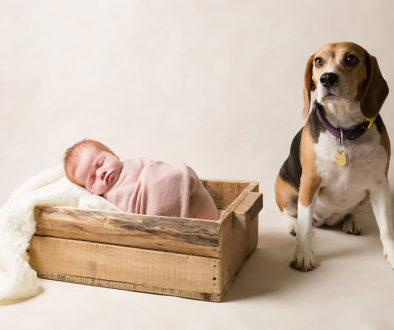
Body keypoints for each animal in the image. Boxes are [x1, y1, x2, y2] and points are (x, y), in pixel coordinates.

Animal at [274, 42, 394, 270]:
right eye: (318, 61)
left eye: (351, 59)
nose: (327, 78)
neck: (343, 129)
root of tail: (327, 220)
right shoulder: (310, 180)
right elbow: (304, 226)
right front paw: (302, 254)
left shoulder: (380, 184)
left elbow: (386, 227)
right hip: (284, 187)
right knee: (290, 213)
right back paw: (293, 224)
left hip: (366, 197)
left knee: (352, 211)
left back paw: (351, 220)